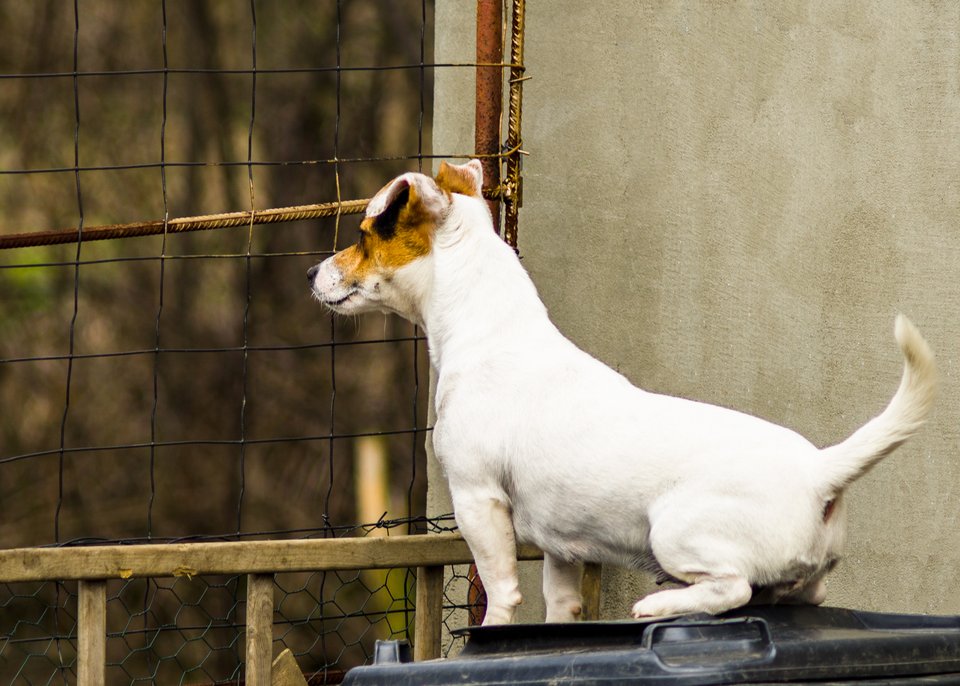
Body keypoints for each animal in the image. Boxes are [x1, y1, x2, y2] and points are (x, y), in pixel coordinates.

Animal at [310, 164, 936, 628]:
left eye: (364, 237)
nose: (313, 273)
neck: (488, 329)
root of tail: (820, 470)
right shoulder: (561, 550)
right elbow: (560, 605)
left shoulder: (476, 500)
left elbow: (502, 594)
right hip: (798, 579)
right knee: (794, 597)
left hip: (675, 531)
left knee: (730, 589)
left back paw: (659, 604)